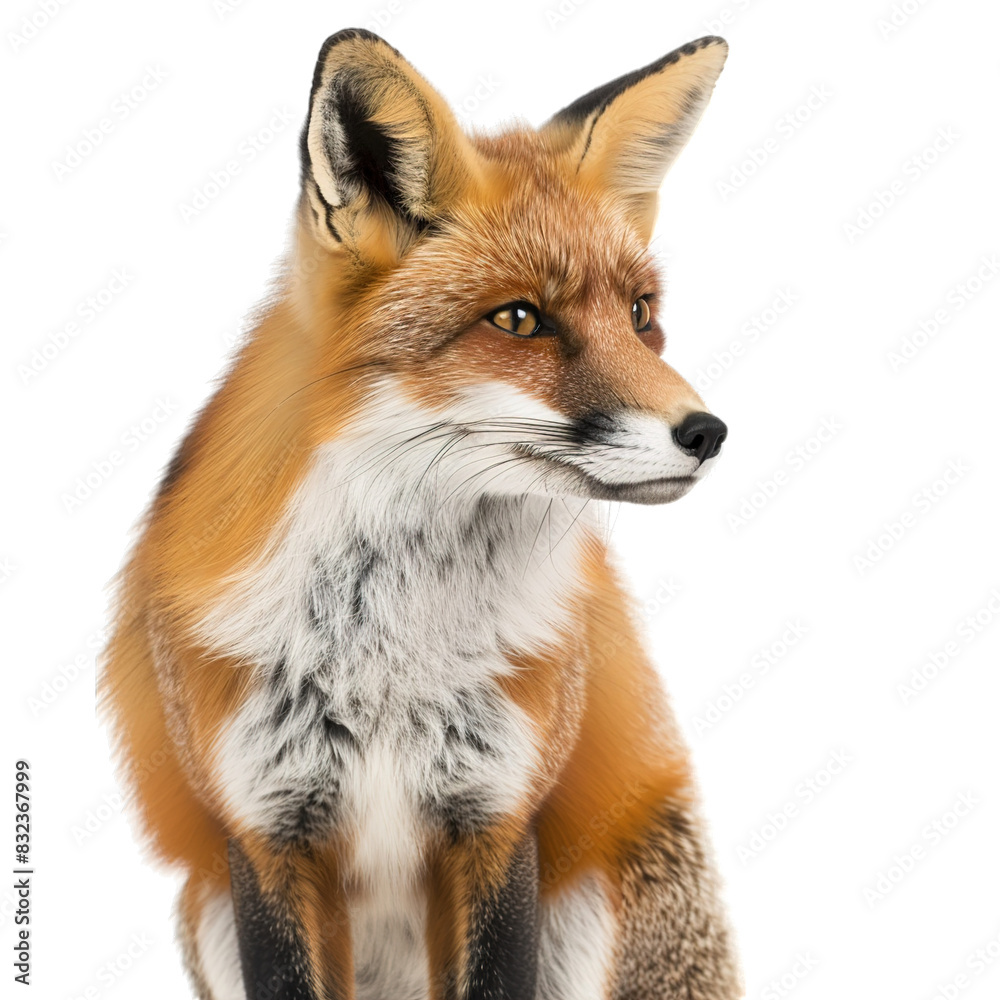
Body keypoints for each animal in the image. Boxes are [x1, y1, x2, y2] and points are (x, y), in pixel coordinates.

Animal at [99, 27, 741, 1000]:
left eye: (641, 316)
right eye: (518, 320)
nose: (707, 433)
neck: (388, 653)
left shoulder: (496, 816)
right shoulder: (267, 831)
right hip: (204, 906)